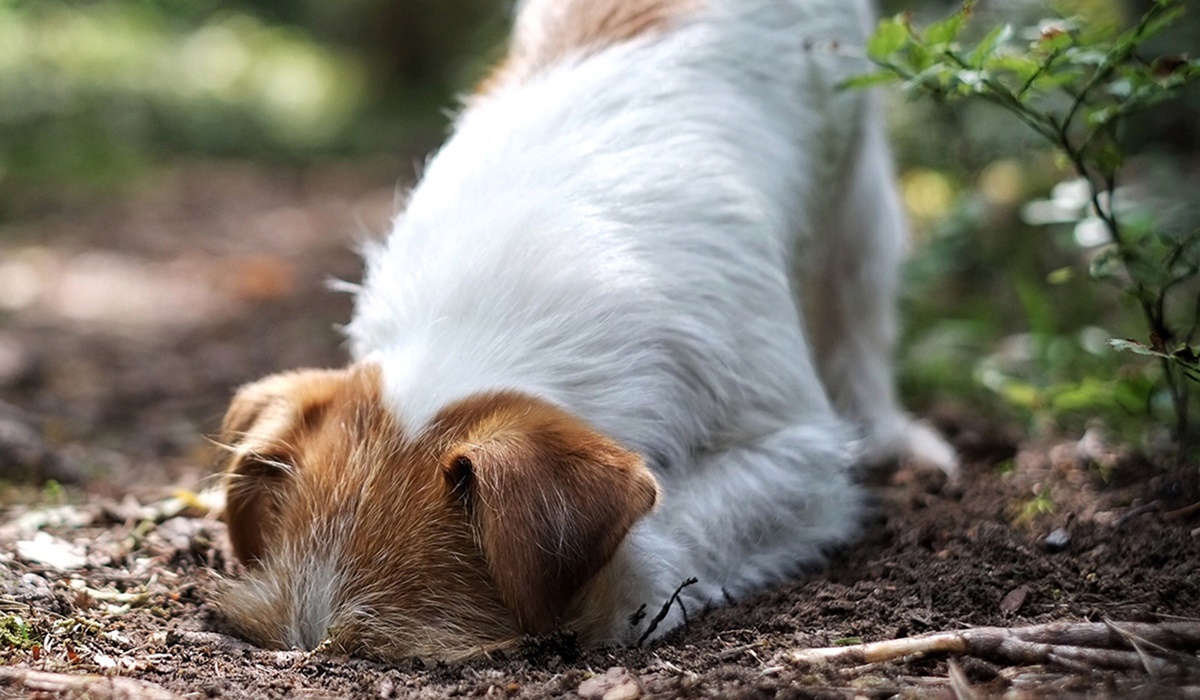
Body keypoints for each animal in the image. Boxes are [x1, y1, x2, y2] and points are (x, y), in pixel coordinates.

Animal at [218, 0, 955, 662]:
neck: (488, 322)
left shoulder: (800, 456)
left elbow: (687, 519)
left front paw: (625, 592)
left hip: (857, 184)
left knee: (859, 305)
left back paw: (895, 437)